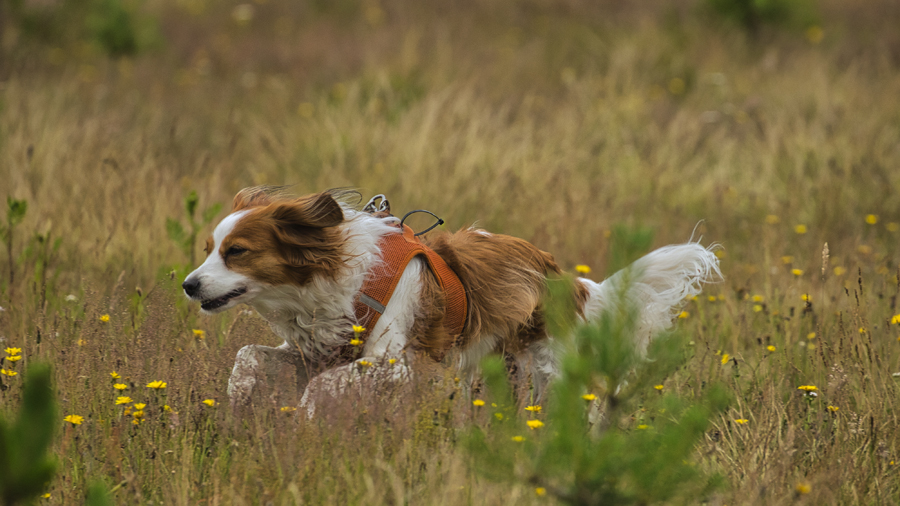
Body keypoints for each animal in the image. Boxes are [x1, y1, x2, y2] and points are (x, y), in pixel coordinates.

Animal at [183, 188, 724, 414]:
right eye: (209, 249)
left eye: (237, 252)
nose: (189, 284)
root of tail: (566, 280)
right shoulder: (317, 350)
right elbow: (248, 357)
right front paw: (237, 401)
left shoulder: (397, 362)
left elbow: (322, 388)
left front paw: (307, 419)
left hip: (547, 368)